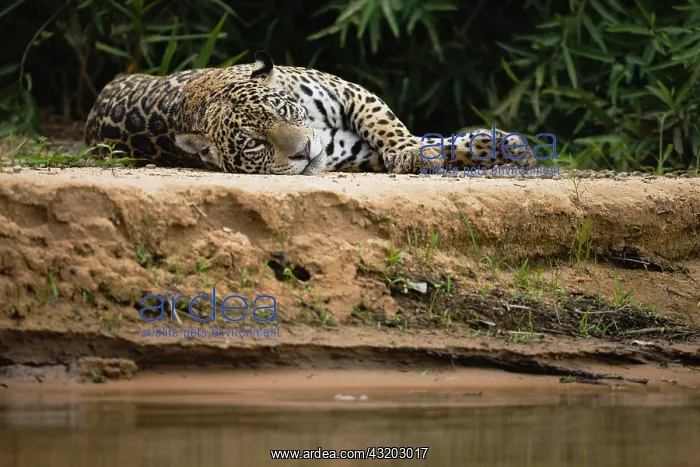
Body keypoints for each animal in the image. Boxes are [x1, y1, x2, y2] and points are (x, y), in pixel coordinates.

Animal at [84, 51, 534, 175]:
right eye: (254, 144)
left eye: (282, 109)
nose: (304, 151)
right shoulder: (357, 155)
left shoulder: (354, 94)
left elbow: (390, 126)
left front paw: (500, 146)